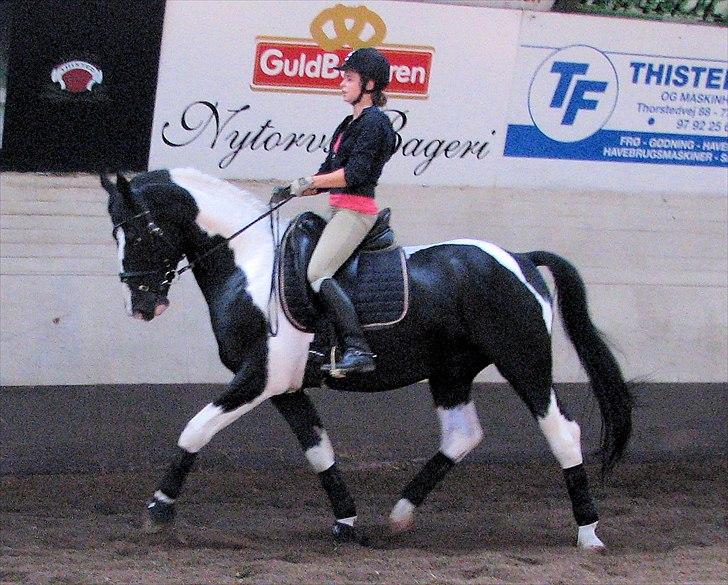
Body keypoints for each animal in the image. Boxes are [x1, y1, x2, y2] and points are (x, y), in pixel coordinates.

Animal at [102, 168, 632, 548]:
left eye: (143, 231)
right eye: (115, 234)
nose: (141, 306)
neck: (250, 264)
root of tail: (520, 258)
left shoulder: (260, 377)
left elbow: (196, 428)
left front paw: (159, 509)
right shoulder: (285, 386)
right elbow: (318, 449)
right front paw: (346, 523)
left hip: (524, 362)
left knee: (562, 432)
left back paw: (589, 533)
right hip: (451, 370)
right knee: (461, 435)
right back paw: (399, 516)